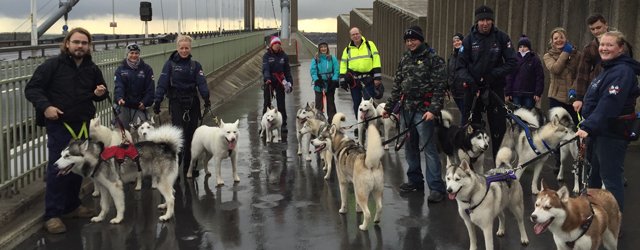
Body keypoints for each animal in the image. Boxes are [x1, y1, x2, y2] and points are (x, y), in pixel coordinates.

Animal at [53, 125, 184, 223]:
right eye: (61, 155)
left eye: (67, 156)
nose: (54, 165)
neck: (98, 158)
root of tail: (168, 147)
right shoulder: (104, 188)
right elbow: (103, 205)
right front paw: (100, 218)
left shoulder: (114, 187)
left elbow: (119, 205)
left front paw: (118, 219)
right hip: (163, 180)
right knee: (171, 193)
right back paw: (165, 206)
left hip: (161, 182)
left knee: (171, 198)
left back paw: (167, 216)